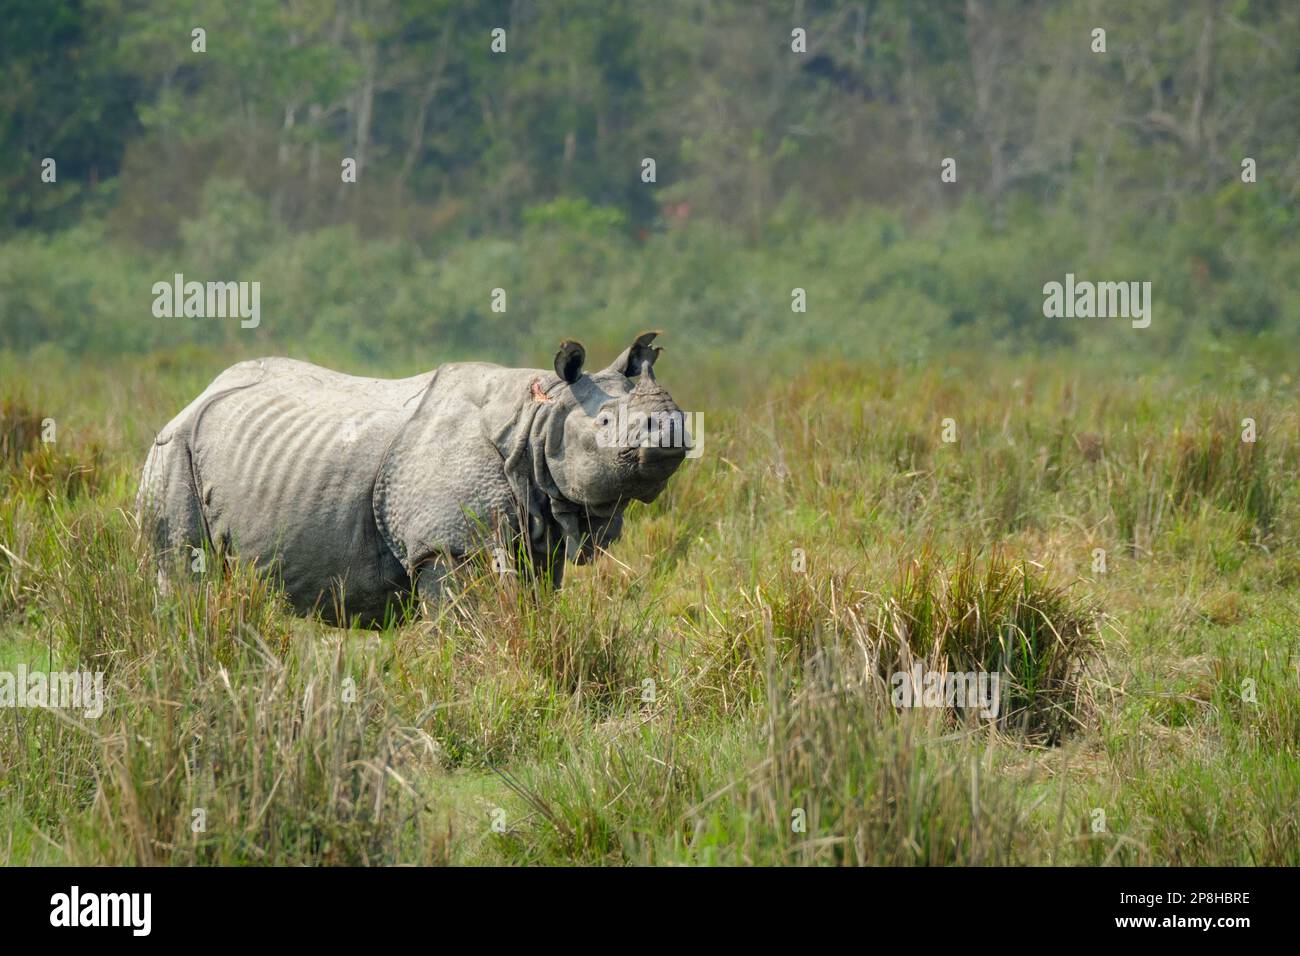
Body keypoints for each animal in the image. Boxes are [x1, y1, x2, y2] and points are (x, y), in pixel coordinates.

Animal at [136, 332, 688, 625]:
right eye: (605, 423)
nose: (676, 432)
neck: (539, 414)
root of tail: (191, 400)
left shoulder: (540, 535)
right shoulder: (447, 544)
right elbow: (465, 621)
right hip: (172, 453)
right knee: (183, 565)